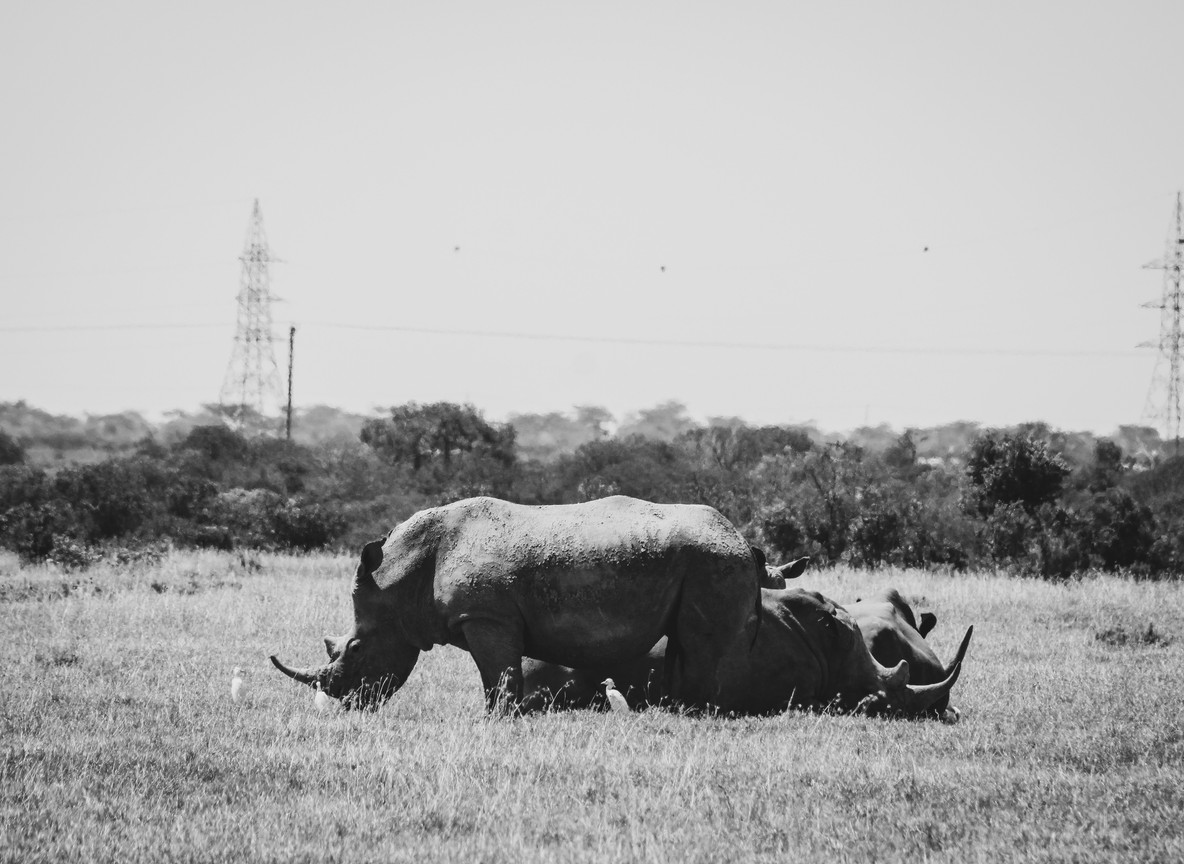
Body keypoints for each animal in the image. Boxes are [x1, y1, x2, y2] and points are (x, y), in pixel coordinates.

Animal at [270, 496, 762, 712]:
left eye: (354, 649)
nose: (346, 703)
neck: (402, 578)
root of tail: (741, 539)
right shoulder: (485, 618)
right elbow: (496, 677)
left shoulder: (486, 617)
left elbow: (500, 675)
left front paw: (497, 720)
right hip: (701, 563)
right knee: (683, 643)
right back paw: (678, 711)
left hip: (713, 562)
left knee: (698, 646)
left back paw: (693, 713)